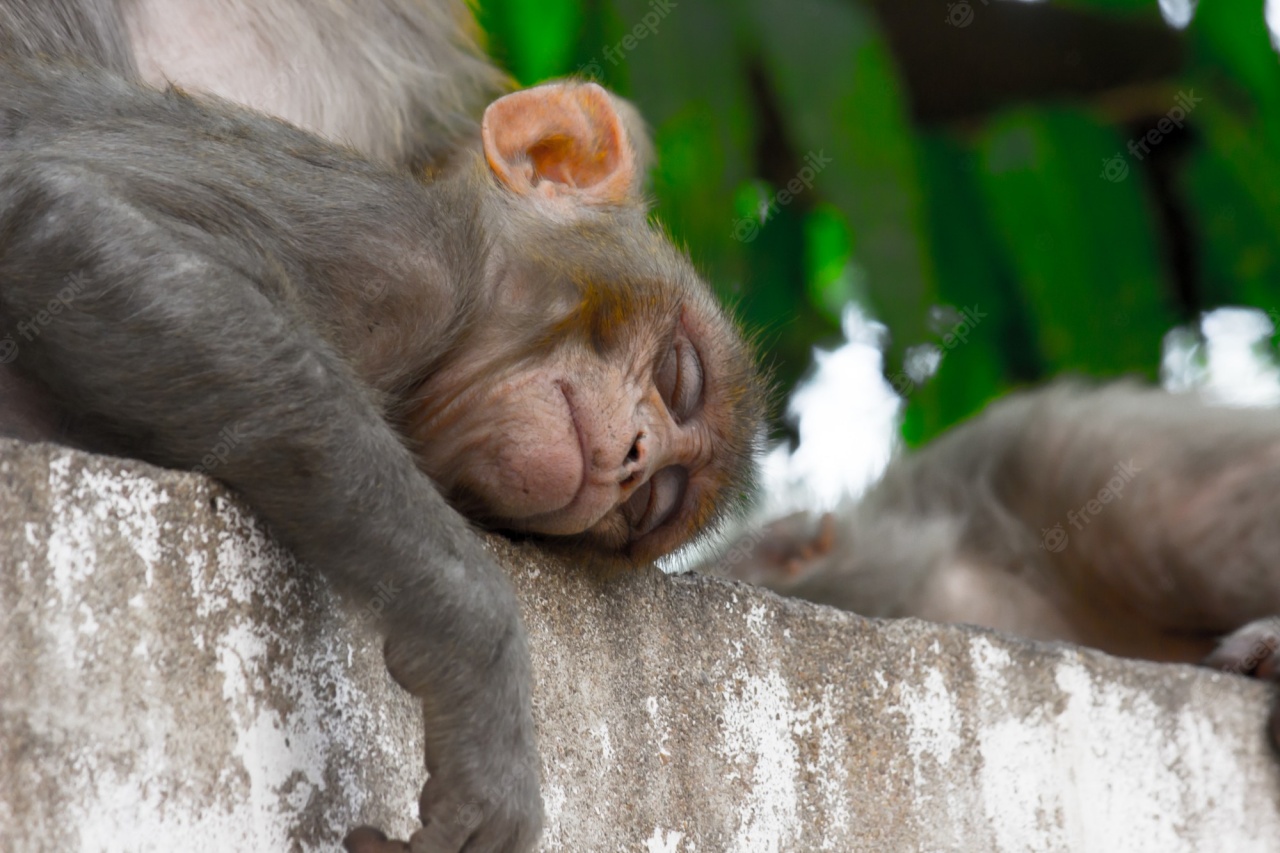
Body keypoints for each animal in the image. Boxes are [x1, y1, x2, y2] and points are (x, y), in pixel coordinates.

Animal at [0, 3, 762, 845]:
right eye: (679, 376)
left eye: (654, 501)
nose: (634, 457)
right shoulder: (395, 249)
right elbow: (59, 210)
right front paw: (477, 649)